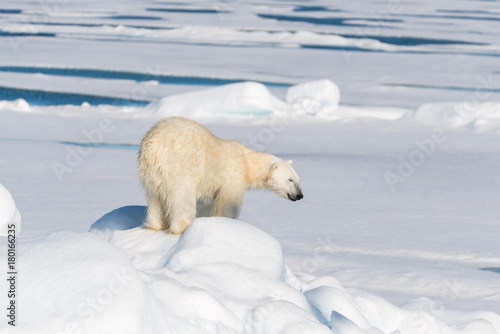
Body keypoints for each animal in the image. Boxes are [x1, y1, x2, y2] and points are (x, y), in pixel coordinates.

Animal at [137, 117, 302, 235]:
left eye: (297, 179)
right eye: (290, 179)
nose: (300, 195)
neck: (247, 162)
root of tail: (154, 147)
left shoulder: (209, 187)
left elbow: (205, 204)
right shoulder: (233, 176)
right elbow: (228, 203)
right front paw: (227, 224)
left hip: (151, 174)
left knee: (154, 198)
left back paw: (156, 225)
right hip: (179, 167)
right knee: (182, 198)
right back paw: (183, 227)